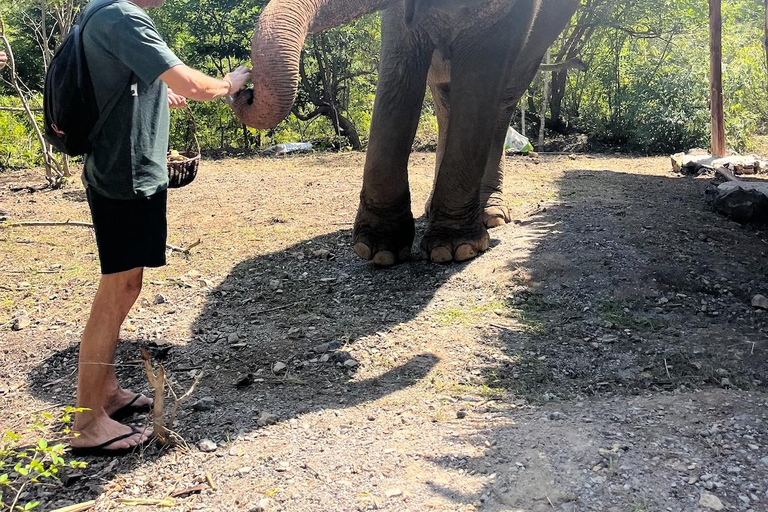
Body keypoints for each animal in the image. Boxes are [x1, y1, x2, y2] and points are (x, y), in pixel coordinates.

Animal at [230, 0, 580, 266]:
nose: (243, 89)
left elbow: (481, 81)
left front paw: (453, 249)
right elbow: (399, 71)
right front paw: (377, 250)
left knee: (503, 100)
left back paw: (490, 215)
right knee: (444, 99)